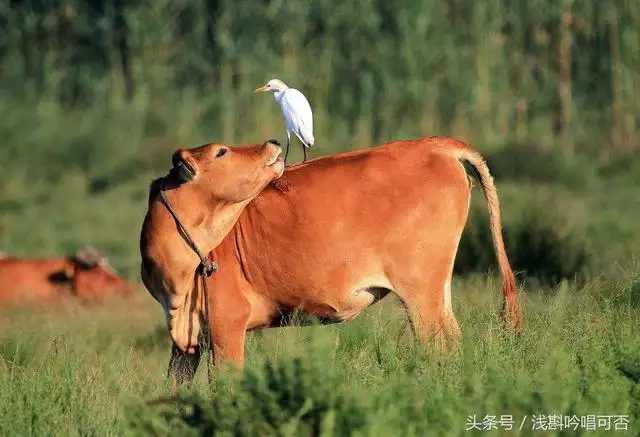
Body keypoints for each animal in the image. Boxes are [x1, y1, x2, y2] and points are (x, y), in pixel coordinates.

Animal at [140, 135, 520, 384]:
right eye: (221, 152)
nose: (272, 141)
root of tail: (434, 144)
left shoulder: (227, 324)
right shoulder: (186, 341)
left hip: (420, 292)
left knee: (438, 346)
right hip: (437, 290)